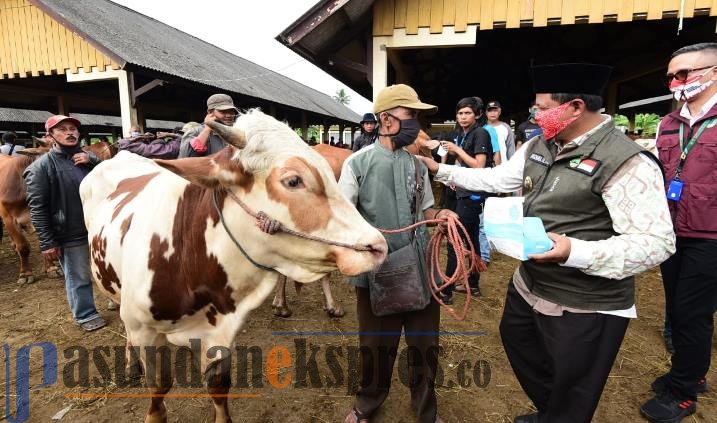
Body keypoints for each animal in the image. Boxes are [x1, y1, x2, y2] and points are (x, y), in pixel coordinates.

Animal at [79, 110, 386, 423]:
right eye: (293, 181)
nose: (378, 245)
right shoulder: (144, 329)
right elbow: (159, 385)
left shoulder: (222, 331)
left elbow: (218, 385)